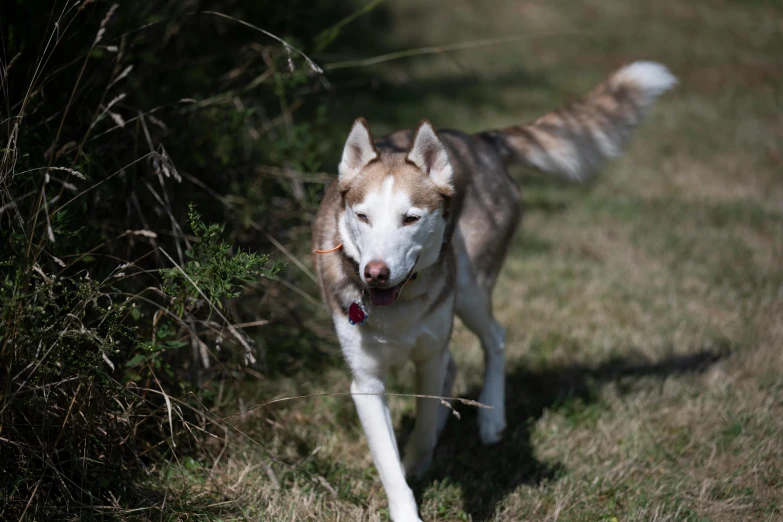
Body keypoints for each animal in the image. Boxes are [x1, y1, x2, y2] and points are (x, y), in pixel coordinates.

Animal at [310, 60, 672, 516]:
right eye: (362, 216)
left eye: (410, 218)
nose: (375, 273)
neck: (398, 307)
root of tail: (482, 140)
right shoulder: (366, 383)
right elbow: (390, 465)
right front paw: (407, 494)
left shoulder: (429, 355)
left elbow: (424, 423)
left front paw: (418, 458)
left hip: (469, 289)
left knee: (495, 337)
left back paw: (491, 416)